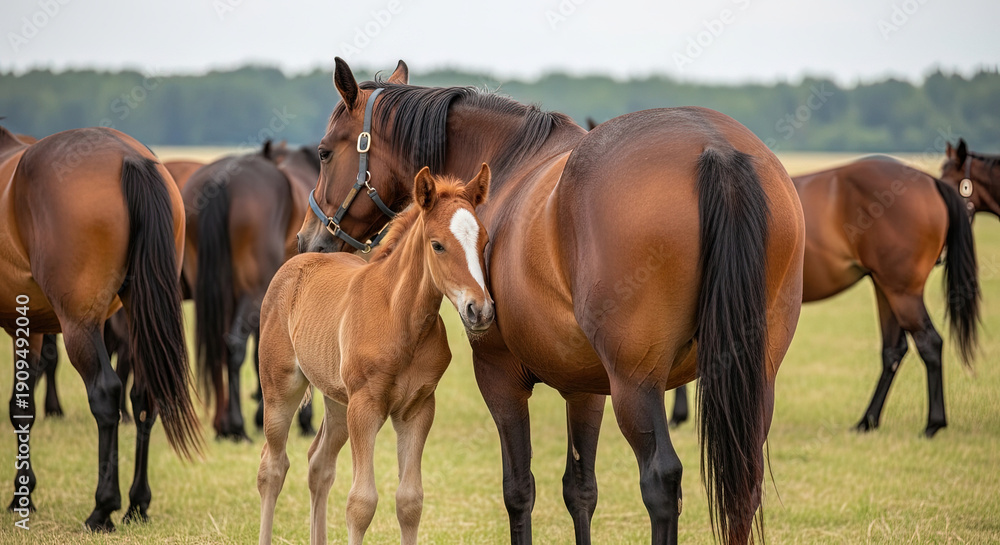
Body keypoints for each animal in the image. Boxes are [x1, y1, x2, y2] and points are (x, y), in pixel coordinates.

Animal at [0, 125, 200, 530]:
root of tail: (130, 157)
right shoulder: (32, 327)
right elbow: (23, 405)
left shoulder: (22, 326)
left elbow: (20, 406)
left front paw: (21, 495)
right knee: (144, 397)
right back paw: (137, 503)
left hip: (80, 326)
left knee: (106, 394)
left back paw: (103, 508)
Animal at [182, 142, 320, 441]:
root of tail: (222, 178)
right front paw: (303, 420)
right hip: (251, 290)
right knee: (234, 345)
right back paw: (236, 425)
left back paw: (224, 425)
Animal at [258, 164, 493, 545]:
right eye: (437, 245)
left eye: (484, 242)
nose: (481, 311)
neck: (401, 320)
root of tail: (299, 260)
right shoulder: (365, 406)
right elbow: (361, 503)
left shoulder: (418, 409)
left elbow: (410, 500)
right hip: (281, 388)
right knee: (272, 467)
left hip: (337, 400)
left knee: (319, 464)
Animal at [297, 58, 805, 544]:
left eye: (323, 151)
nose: (309, 238)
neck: (507, 165)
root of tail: (714, 147)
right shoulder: (586, 389)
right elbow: (580, 490)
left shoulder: (499, 375)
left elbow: (518, 489)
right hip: (753, 381)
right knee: (743, 484)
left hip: (636, 385)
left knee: (661, 480)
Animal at [670, 156, 980, 437]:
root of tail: (929, 180)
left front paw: (677, 415)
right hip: (886, 288)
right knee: (894, 349)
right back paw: (867, 421)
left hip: (902, 291)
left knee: (929, 343)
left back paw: (932, 424)